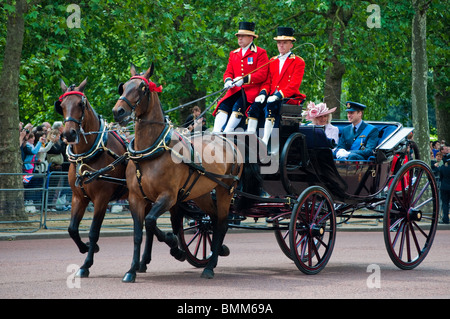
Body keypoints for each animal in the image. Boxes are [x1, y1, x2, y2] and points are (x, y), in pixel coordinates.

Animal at [55, 79, 128, 278]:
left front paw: (86, 264)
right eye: (61, 106)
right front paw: (87, 248)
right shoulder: (78, 197)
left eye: (81, 104)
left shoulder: (102, 198)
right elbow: (72, 229)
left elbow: (94, 231)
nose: (69, 134)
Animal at [112, 64, 243, 282]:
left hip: (226, 190)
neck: (150, 153)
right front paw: (131, 270)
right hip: (201, 194)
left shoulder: (168, 197)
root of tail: (228, 141)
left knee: (222, 223)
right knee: (213, 220)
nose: (118, 112)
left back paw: (210, 266)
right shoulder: (136, 198)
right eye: (123, 86)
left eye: (142, 87)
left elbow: (151, 222)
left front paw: (174, 244)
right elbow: (139, 233)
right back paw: (214, 256)